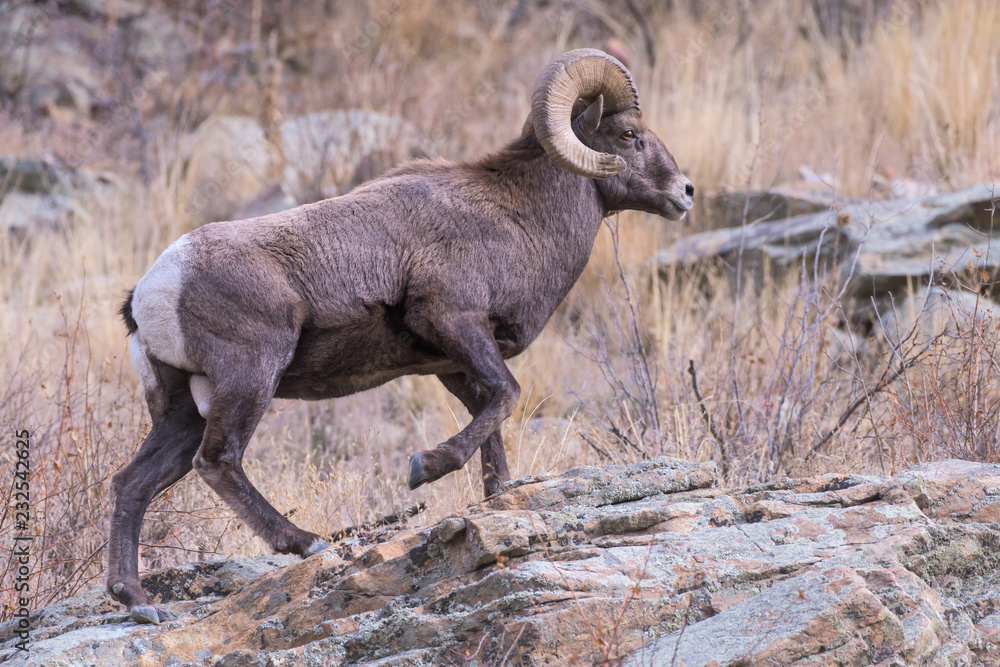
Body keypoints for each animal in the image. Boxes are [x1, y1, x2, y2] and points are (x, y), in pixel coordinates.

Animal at [107, 48, 694, 624]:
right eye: (628, 136)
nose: (685, 192)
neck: (517, 218)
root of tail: (151, 292)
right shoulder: (455, 323)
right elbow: (507, 396)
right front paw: (423, 468)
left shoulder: (453, 363)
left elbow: (494, 418)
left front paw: (498, 497)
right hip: (250, 379)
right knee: (219, 461)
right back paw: (307, 543)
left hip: (185, 407)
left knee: (133, 481)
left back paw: (137, 602)